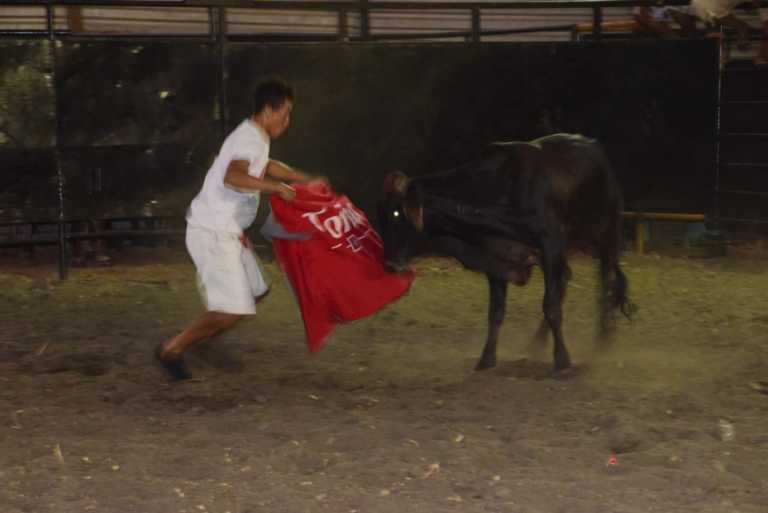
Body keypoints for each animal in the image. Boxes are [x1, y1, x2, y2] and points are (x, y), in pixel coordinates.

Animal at [380, 133, 636, 372]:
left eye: (396, 214)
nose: (389, 263)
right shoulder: (497, 259)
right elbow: (496, 311)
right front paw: (487, 358)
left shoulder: (551, 246)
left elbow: (551, 306)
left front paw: (562, 359)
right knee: (567, 278)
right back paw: (538, 341)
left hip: (606, 234)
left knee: (605, 279)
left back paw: (603, 338)